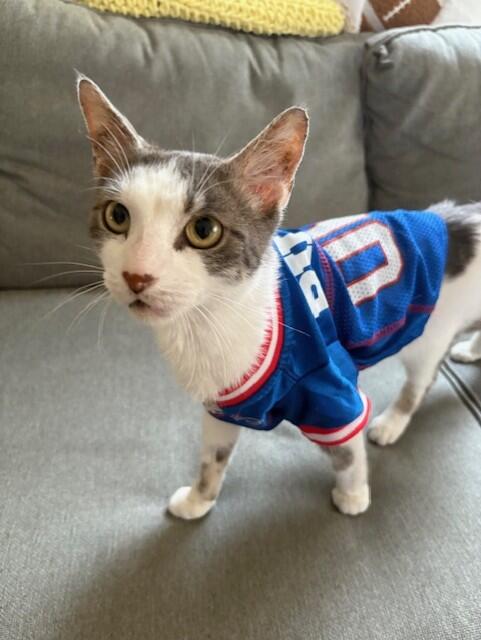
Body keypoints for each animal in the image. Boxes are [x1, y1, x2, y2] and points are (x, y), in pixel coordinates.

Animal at [77, 75, 481, 520]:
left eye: (204, 230)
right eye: (117, 216)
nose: (136, 275)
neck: (208, 323)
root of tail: (456, 219)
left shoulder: (331, 386)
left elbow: (347, 449)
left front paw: (354, 494)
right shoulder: (225, 403)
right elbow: (213, 456)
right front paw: (200, 498)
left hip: (427, 336)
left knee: (420, 381)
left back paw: (392, 422)